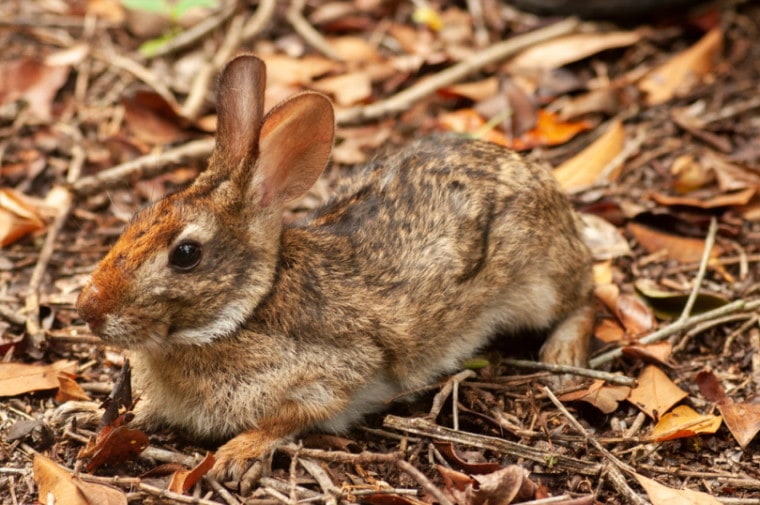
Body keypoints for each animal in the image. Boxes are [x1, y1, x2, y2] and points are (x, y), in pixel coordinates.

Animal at [75, 53, 592, 478]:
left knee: (585, 298)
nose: (88, 309)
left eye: (185, 255)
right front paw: (94, 422)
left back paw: (564, 354)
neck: (246, 309)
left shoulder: (335, 374)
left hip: (538, 281)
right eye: (137, 219)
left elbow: (289, 417)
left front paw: (236, 454)